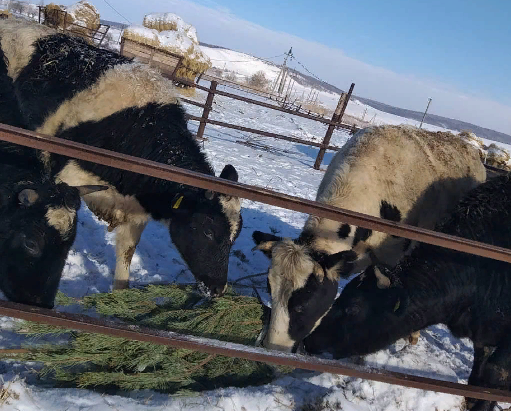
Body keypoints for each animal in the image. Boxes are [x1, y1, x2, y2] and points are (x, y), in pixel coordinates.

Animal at [0, 20, 244, 296]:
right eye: (207, 230)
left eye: (234, 238)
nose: (217, 288)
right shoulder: (62, 176)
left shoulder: (135, 211)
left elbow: (126, 254)